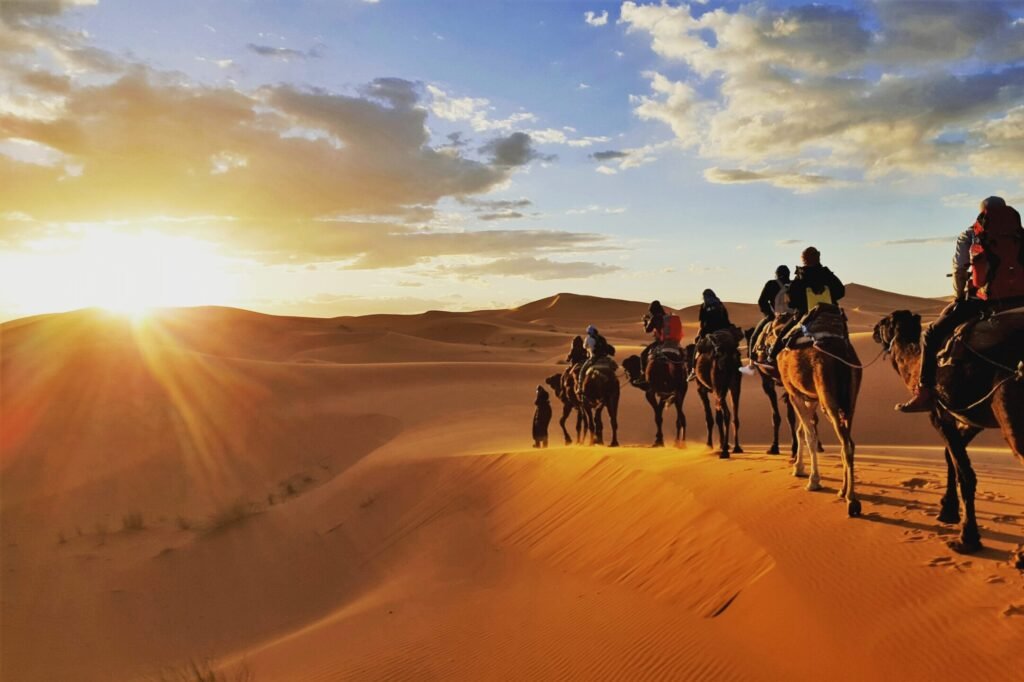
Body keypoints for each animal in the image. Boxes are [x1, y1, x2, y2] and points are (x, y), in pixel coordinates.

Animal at [774, 311, 864, 516]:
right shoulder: (811, 398)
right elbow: (802, 431)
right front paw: (798, 468)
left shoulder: (794, 393)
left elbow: (809, 435)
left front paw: (813, 480)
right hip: (851, 400)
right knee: (849, 441)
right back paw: (843, 491)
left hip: (829, 397)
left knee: (846, 443)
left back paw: (852, 500)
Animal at [872, 311, 1024, 548]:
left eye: (885, 322)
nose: (873, 331)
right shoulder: (969, 419)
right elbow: (950, 456)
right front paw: (947, 509)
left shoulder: (939, 413)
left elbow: (965, 474)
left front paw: (967, 537)